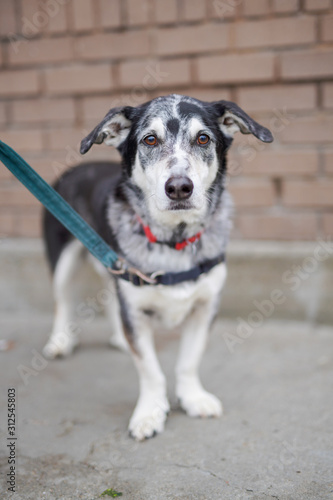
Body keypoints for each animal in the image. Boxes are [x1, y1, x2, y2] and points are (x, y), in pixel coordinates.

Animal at [41, 94, 272, 442]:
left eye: (203, 138)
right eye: (150, 139)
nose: (178, 187)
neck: (173, 241)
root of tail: (76, 168)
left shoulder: (205, 307)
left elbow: (188, 361)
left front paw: (193, 398)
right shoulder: (135, 311)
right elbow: (150, 370)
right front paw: (150, 412)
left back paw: (119, 339)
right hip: (64, 260)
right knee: (62, 300)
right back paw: (60, 341)